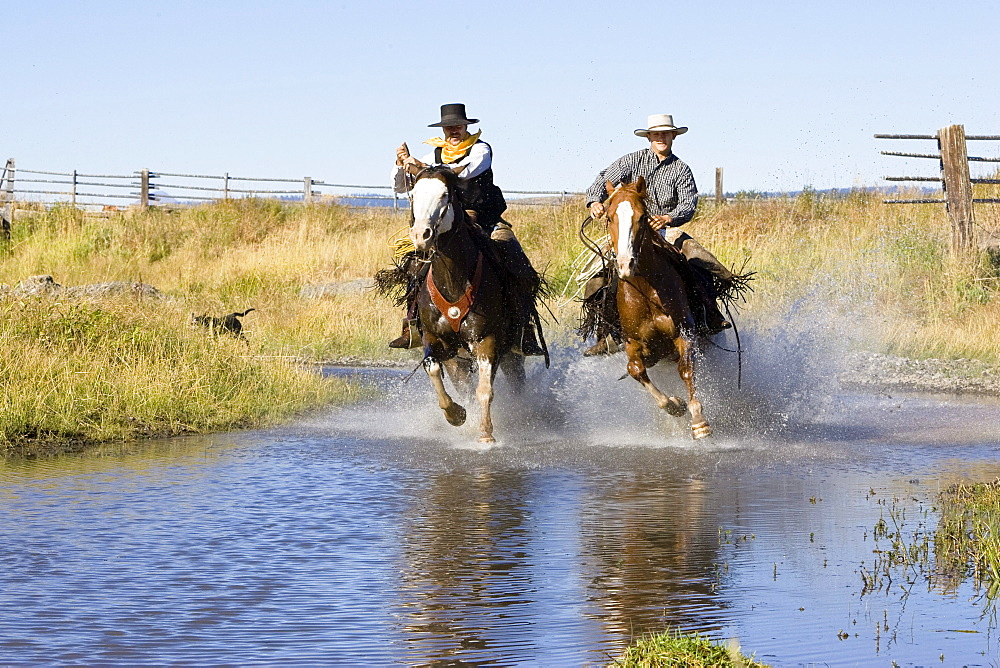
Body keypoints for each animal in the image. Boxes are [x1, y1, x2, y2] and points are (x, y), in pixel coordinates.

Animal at [406, 164, 544, 440]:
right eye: (414, 194)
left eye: (445, 195)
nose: (420, 235)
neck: (453, 281)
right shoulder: (435, 340)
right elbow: (433, 369)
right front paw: (455, 415)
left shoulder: (486, 341)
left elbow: (485, 390)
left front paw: (486, 434)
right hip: (458, 359)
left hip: (512, 354)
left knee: (516, 383)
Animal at [600, 175, 712, 440]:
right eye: (609, 217)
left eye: (642, 217)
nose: (625, 264)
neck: (646, 289)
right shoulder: (632, 341)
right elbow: (635, 370)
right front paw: (674, 404)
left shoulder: (685, 333)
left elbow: (686, 369)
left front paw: (699, 421)